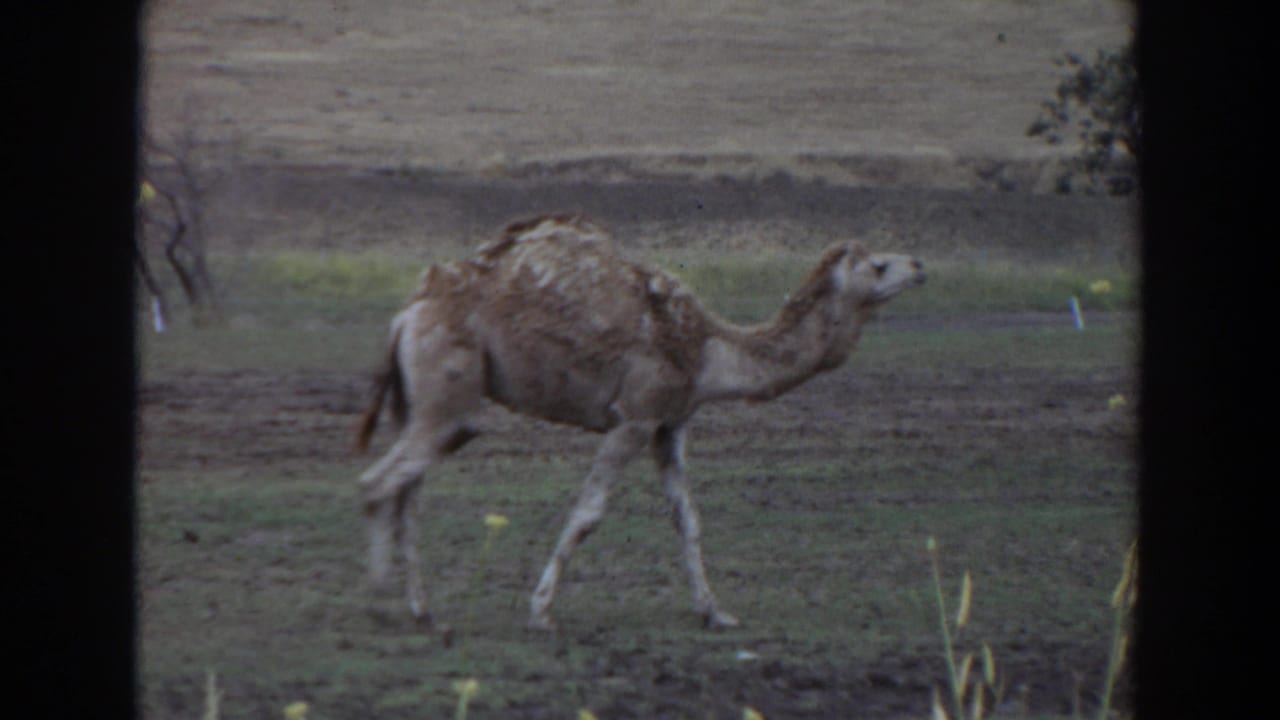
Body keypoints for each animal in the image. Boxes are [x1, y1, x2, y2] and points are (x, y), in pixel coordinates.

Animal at [353, 213, 925, 630]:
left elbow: (686, 517)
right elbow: (588, 513)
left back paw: (421, 609)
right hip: (449, 398)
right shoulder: (634, 417)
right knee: (379, 482)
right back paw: (381, 603)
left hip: (425, 404)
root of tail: (406, 316)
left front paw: (715, 612)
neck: (708, 351)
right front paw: (540, 611)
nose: (920, 264)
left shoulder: (669, 426)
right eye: (878, 266)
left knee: (405, 489)